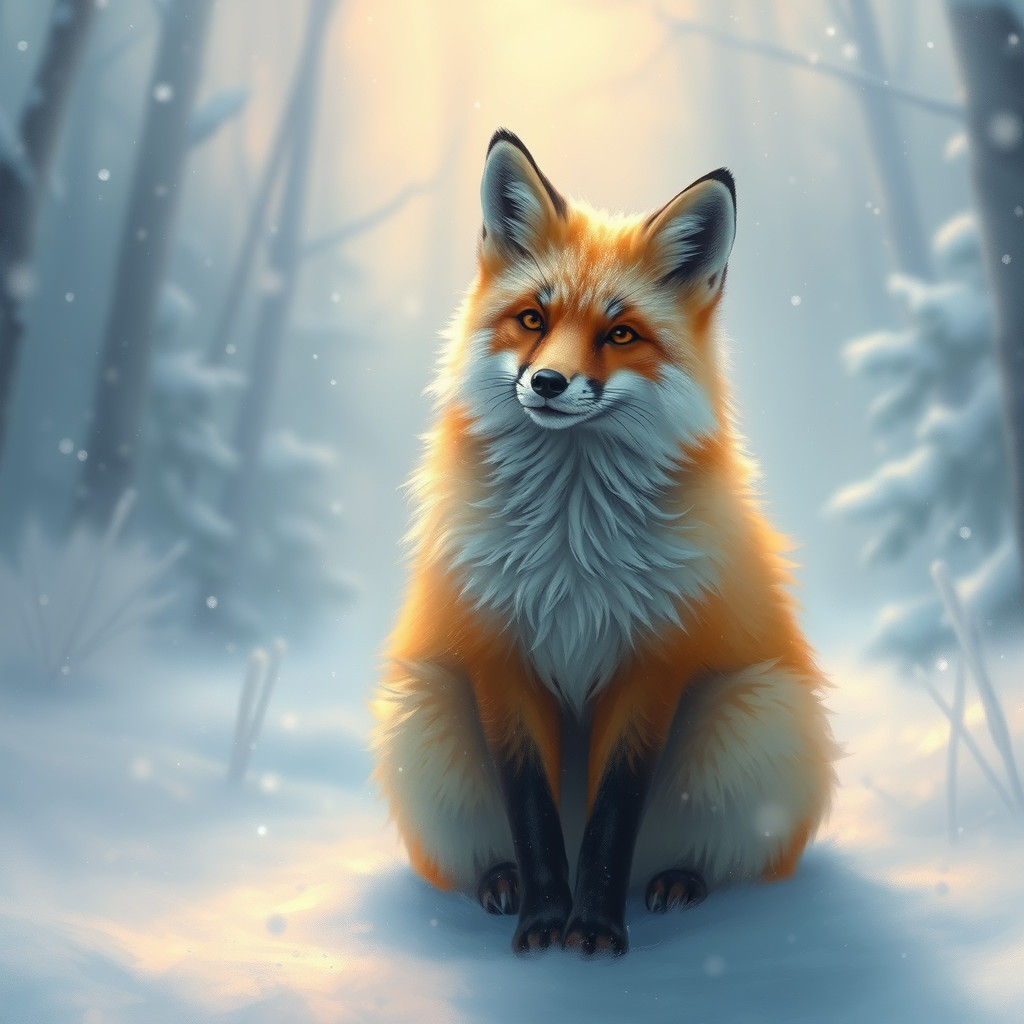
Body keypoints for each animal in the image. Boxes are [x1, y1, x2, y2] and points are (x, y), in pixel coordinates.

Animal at [372, 129, 837, 957]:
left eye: (620, 334)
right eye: (532, 319)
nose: (548, 383)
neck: (571, 550)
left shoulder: (653, 660)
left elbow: (614, 813)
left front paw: (591, 930)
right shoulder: (499, 657)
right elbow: (530, 808)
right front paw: (543, 921)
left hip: (758, 710)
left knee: (705, 852)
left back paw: (682, 880)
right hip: (423, 708)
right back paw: (498, 882)